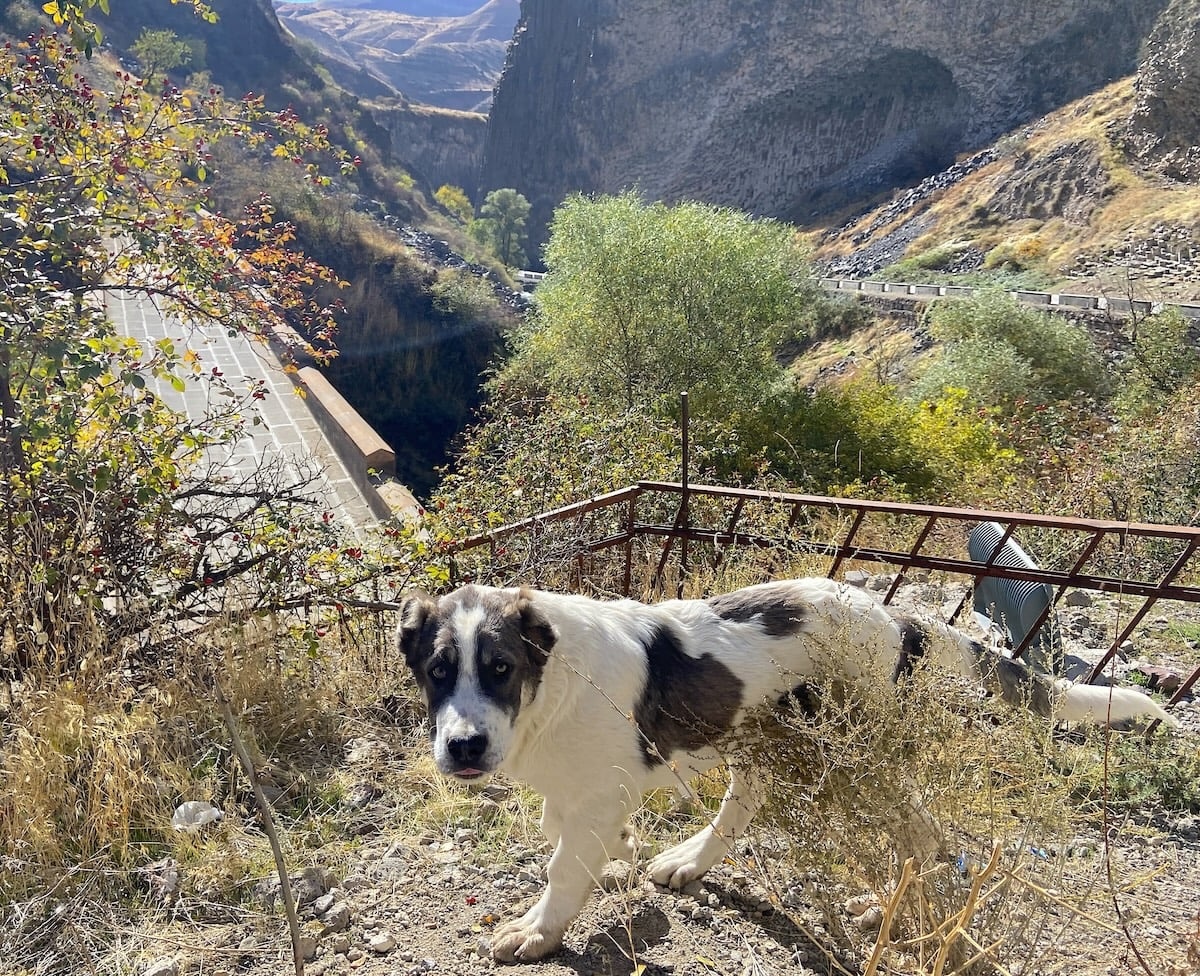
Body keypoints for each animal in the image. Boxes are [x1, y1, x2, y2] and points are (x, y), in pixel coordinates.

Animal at [398, 573, 1176, 965]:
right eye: (437, 672)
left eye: (500, 669)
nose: (463, 747)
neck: (550, 683)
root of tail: (898, 618)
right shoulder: (578, 792)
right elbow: (558, 830)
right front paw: (620, 852)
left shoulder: (594, 790)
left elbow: (563, 868)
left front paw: (539, 931)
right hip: (767, 734)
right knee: (746, 798)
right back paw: (691, 860)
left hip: (860, 747)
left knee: (919, 827)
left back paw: (886, 905)